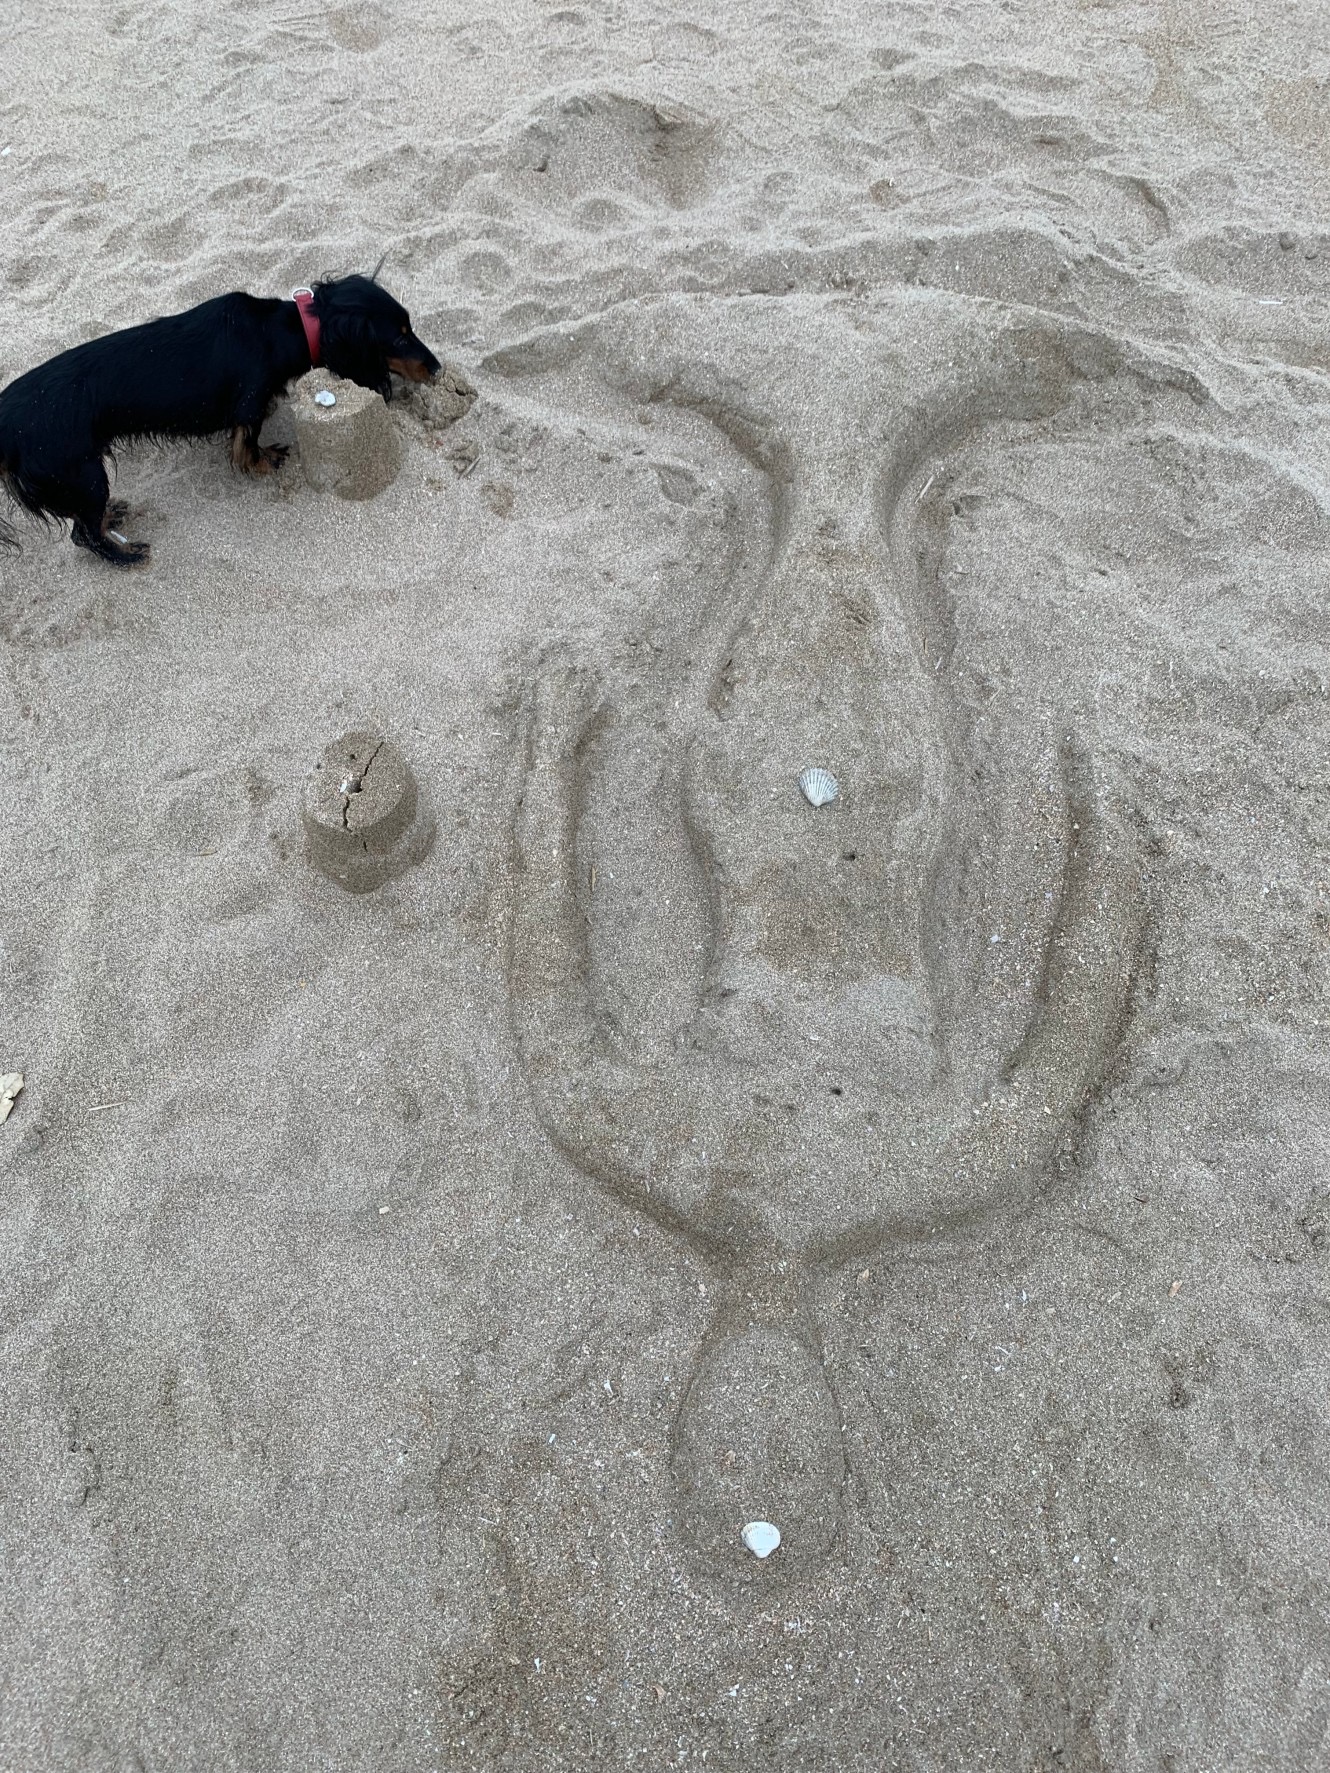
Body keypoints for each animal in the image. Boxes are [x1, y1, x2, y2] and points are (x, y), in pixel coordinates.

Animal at [0, 271, 439, 567]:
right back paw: (125, 555)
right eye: (399, 337)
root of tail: (7, 423)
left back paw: (113, 517)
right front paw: (263, 460)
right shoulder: (250, 402)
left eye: (410, 327)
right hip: (84, 475)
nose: (436, 368)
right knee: (83, 535)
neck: (280, 330)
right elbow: (248, 441)